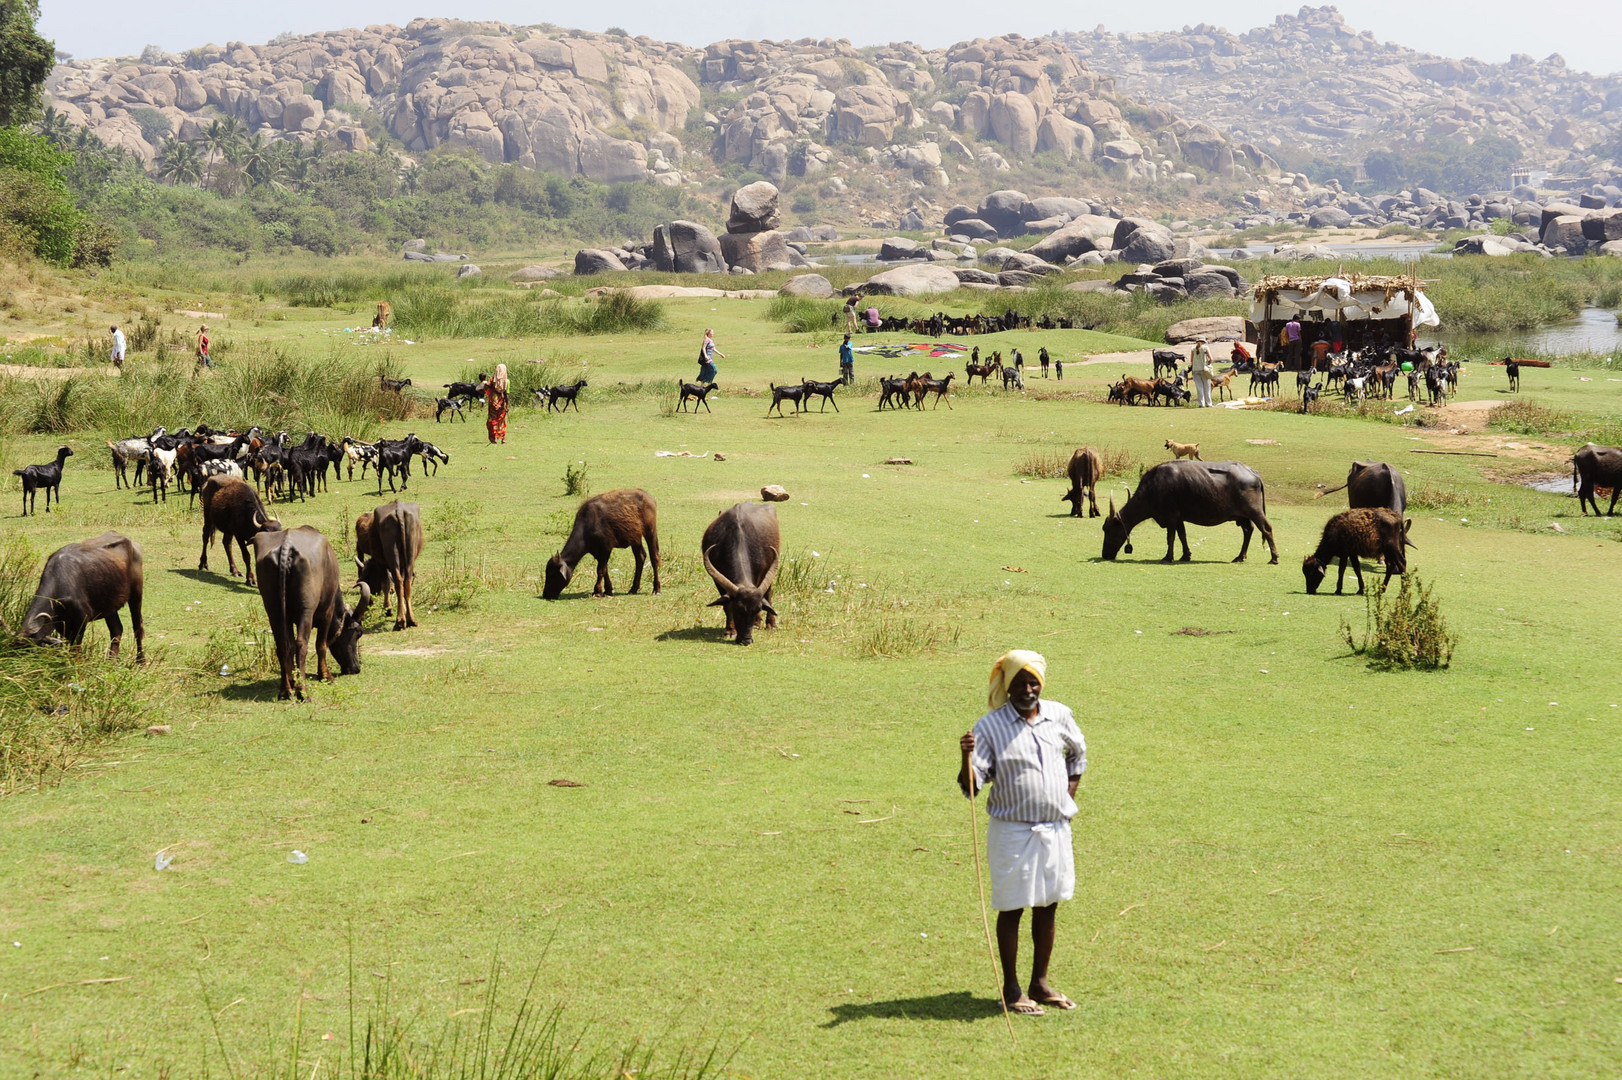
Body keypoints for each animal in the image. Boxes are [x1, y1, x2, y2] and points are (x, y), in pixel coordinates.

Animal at [253, 522, 371, 697]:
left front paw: (293, 679)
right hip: (306, 611)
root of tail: (286, 546)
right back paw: (303, 693)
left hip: (273, 609)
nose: (355, 668)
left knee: (282, 645)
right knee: (302, 644)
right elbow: (321, 644)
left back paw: (285, 690)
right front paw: (326, 676)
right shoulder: (327, 613)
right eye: (358, 632)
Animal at [353, 499, 421, 632]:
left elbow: (385, 584)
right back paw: (410, 619)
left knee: (398, 582)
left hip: (391, 554)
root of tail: (399, 510)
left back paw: (399, 621)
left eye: (365, 580)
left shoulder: (380, 563)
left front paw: (387, 609)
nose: (368, 602)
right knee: (406, 582)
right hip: (410, 556)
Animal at [700, 499, 781, 642]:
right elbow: (726, 606)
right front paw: (730, 631)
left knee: (768, 594)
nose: (746, 640)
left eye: (756, 609)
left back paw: (770, 624)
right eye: (738, 610)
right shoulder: (718, 581)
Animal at [1102, 457, 1278, 564]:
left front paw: (1168, 557)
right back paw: (1240, 556)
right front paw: (1185, 555)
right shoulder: (1179, 518)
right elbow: (1182, 535)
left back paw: (1274, 558)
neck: (1152, 489)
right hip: (1243, 516)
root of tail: (1252, 472)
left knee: (1266, 528)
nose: (1105, 555)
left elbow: (1171, 538)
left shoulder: (1171, 518)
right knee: (1248, 530)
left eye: (1109, 530)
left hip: (1255, 511)